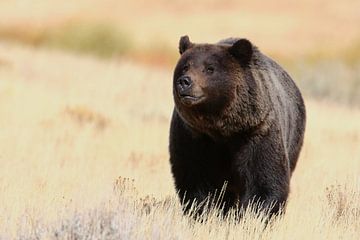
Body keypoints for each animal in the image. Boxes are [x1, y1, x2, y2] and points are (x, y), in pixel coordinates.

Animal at [169, 35, 306, 218]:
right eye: (185, 66)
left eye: (210, 68)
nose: (185, 81)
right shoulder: (193, 135)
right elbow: (194, 177)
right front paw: (203, 212)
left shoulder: (257, 132)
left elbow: (264, 182)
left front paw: (255, 214)